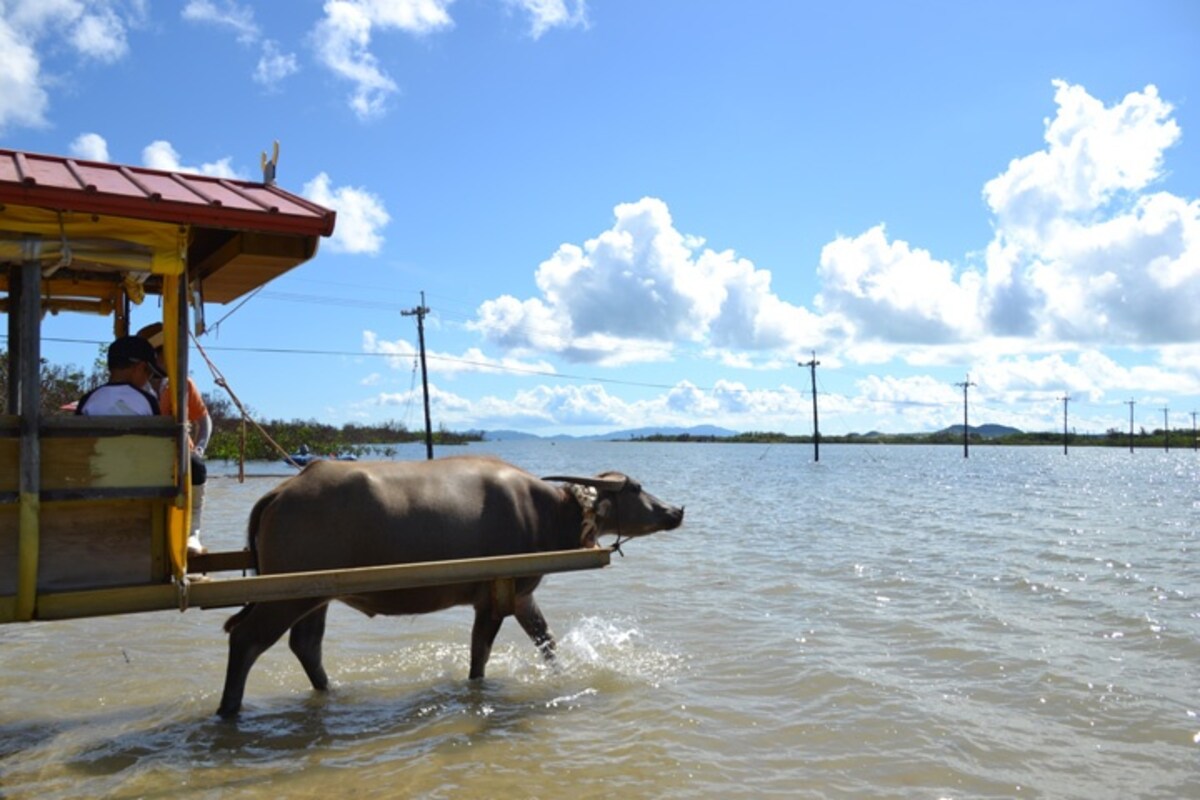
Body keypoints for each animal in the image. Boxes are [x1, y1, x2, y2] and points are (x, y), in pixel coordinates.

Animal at [217, 455, 686, 719]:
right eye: (636, 488)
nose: (676, 510)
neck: (546, 512)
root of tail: (281, 492)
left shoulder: (517, 596)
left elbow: (546, 641)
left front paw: (563, 676)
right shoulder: (498, 599)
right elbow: (480, 656)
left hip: (315, 595)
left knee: (306, 644)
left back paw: (331, 692)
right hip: (286, 597)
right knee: (246, 638)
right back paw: (228, 710)